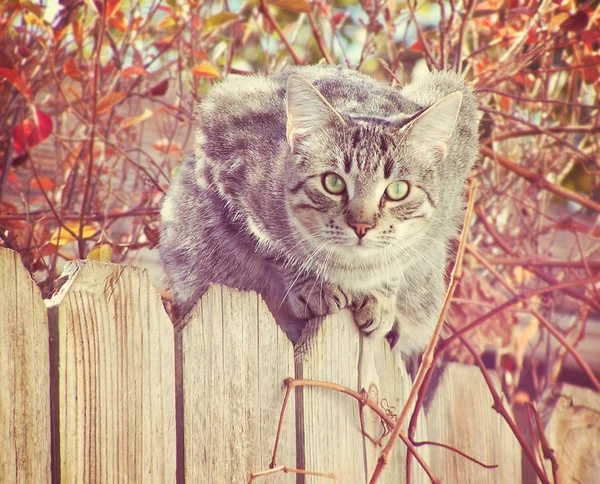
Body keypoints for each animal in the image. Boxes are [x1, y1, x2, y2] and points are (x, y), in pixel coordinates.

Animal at [158, 64, 478, 358]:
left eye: (398, 190)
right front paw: (315, 286)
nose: (362, 225)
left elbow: (399, 261)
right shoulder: (226, 142)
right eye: (333, 182)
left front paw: (380, 298)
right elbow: (276, 248)